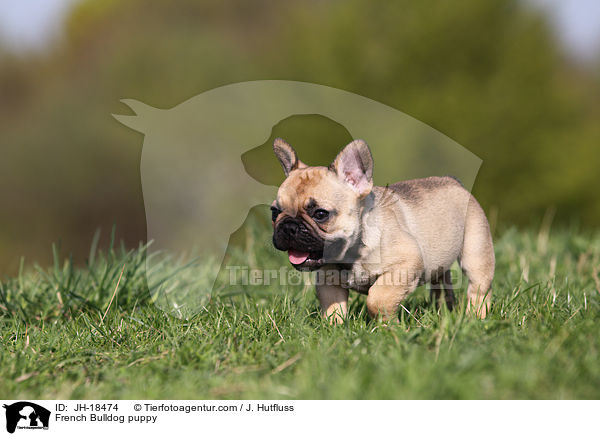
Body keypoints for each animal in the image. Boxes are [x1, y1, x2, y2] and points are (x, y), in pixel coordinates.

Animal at [270, 138, 492, 322]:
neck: (353, 252)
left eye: (320, 214)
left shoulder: (406, 263)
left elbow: (378, 298)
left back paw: (476, 318)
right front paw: (334, 329)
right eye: (274, 212)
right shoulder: (328, 282)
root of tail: (453, 181)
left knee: (479, 289)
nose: (289, 227)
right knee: (440, 282)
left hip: (475, 253)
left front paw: (388, 326)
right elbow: (333, 308)